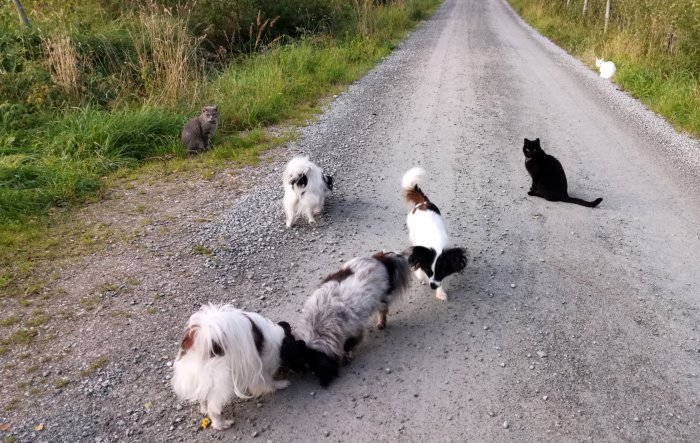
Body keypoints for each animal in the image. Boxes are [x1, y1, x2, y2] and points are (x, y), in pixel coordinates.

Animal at [278, 251, 410, 386]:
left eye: (312, 366)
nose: (297, 371)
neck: (320, 319)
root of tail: (380, 258)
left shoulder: (354, 331)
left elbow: (348, 345)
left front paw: (346, 357)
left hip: (382, 298)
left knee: (382, 311)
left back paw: (381, 323)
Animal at [402, 166, 468, 302]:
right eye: (428, 271)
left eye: (442, 272)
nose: (432, 286)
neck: (436, 245)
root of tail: (423, 203)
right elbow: (419, 270)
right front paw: (422, 277)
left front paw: (440, 292)